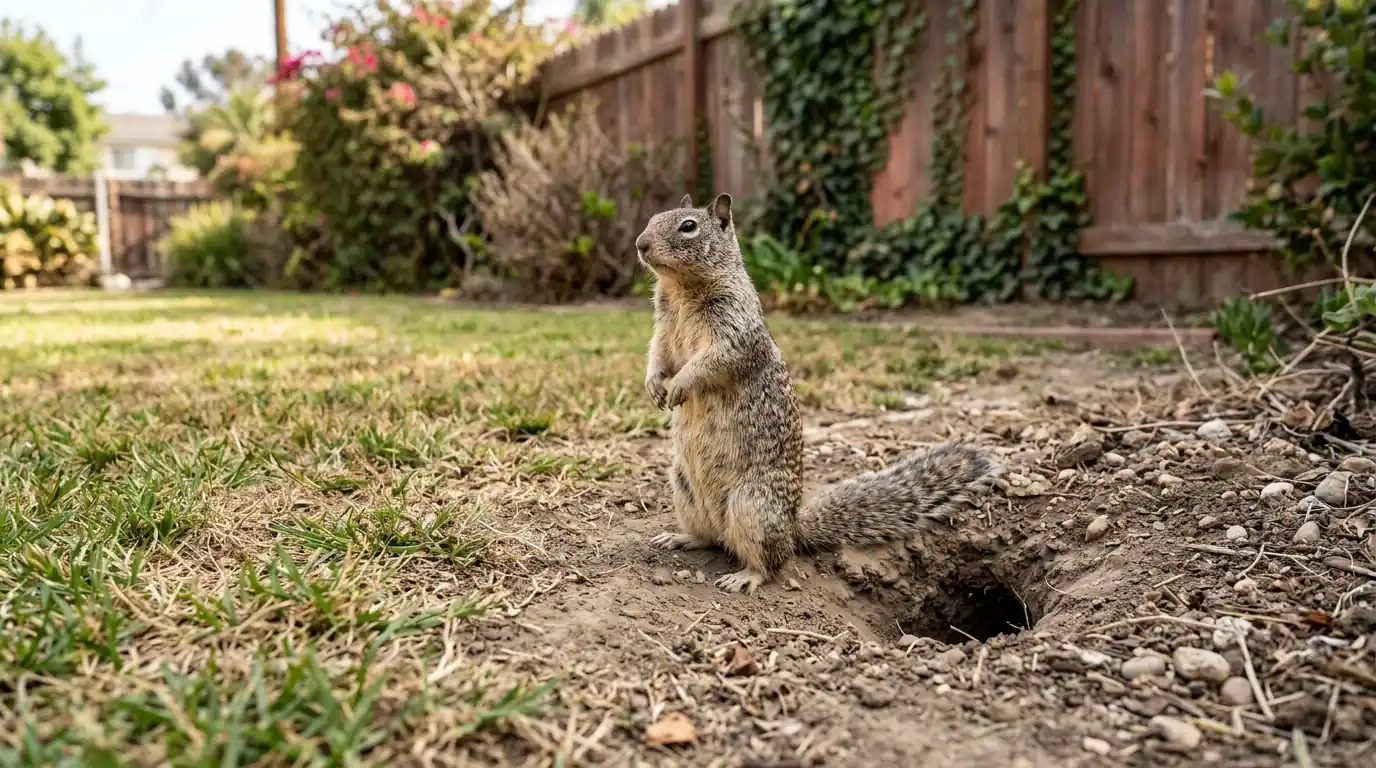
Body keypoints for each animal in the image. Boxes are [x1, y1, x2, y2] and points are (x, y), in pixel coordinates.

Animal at [634, 193, 1003, 594]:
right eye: (652, 218)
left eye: (688, 226)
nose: (640, 244)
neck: (681, 289)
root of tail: (794, 528)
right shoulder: (663, 329)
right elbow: (657, 354)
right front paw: (654, 385)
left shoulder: (735, 332)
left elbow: (712, 361)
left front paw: (680, 385)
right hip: (683, 489)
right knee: (711, 538)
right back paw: (680, 537)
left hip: (752, 508)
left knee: (770, 562)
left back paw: (745, 576)